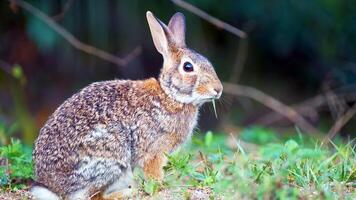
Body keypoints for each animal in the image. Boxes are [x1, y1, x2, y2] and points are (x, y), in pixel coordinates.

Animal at [30, 10, 221, 200]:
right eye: (188, 67)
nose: (218, 89)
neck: (170, 95)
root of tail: (54, 188)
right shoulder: (154, 151)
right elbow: (154, 174)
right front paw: (160, 187)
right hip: (110, 155)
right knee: (94, 195)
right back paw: (128, 191)